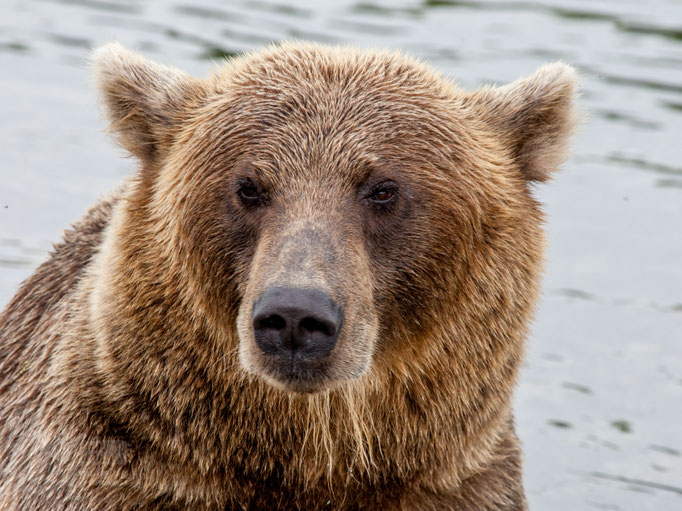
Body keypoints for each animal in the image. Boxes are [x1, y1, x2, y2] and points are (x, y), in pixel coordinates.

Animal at [0, 41, 577, 510]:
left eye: (383, 188)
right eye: (248, 186)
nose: (296, 315)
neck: (311, 453)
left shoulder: (457, 483)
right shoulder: (115, 464)